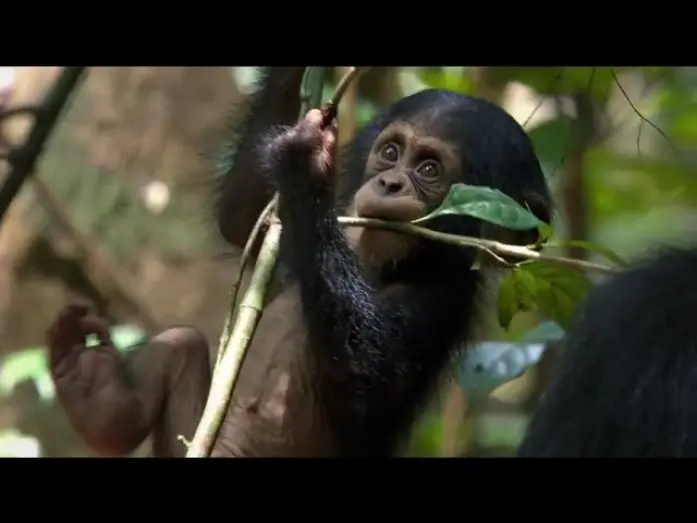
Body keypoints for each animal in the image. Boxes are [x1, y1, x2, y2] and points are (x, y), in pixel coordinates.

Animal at [46, 67, 552, 457]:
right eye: (391, 152)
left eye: (429, 169)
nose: (390, 183)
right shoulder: (296, 234)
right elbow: (244, 219)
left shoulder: (441, 296)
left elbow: (368, 375)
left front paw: (305, 164)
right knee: (180, 343)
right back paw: (95, 395)